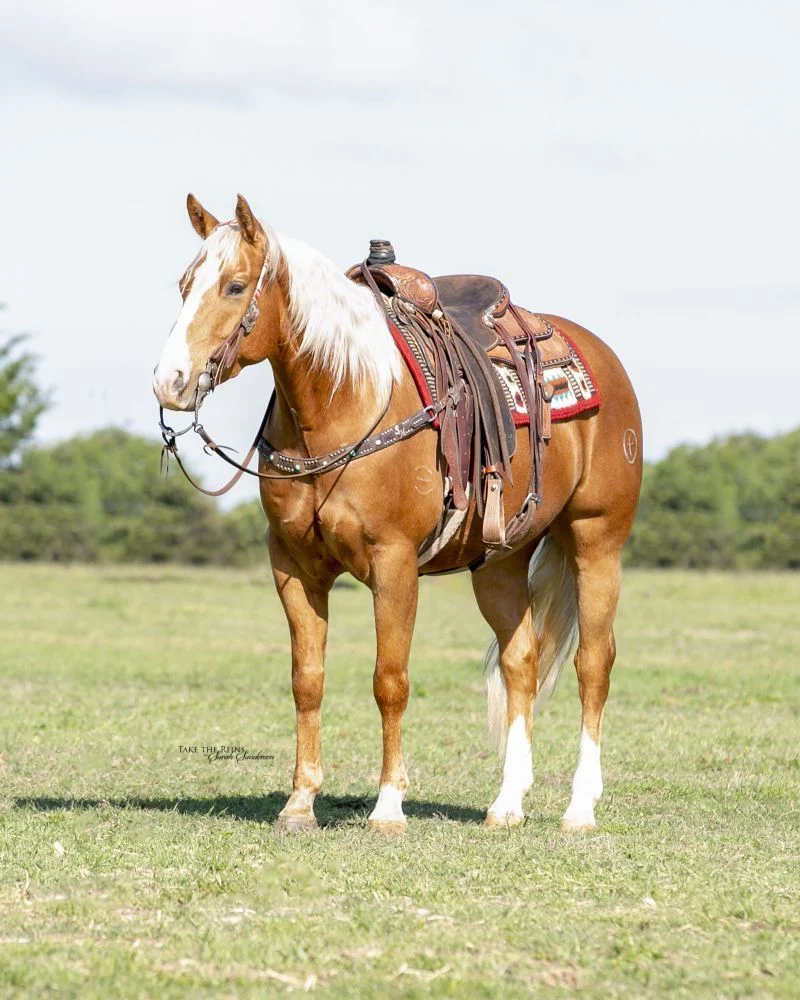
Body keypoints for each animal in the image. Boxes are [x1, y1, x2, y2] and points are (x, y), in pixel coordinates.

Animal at [152, 194, 643, 834]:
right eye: (184, 285)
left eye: (235, 286)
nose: (170, 381)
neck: (346, 401)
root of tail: (602, 358)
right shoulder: (293, 567)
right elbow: (307, 680)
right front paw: (299, 803)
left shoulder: (394, 564)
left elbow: (390, 681)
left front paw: (388, 805)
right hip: (500, 563)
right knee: (521, 663)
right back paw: (507, 803)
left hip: (596, 542)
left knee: (594, 663)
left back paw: (580, 807)